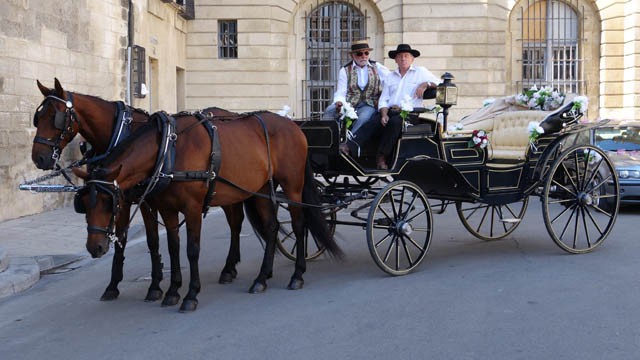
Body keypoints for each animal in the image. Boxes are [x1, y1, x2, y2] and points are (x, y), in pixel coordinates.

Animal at [30, 80, 251, 302]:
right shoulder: (124, 199)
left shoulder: (141, 201)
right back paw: (231, 267)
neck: (120, 133)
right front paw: (115, 285)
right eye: (38, 118)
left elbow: (151, 241)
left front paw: (154, 285)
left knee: (235, 223)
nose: (38, 157)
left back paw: (229, 268)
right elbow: (124, 239)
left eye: (55, 117)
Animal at [73, 109, 342, 310]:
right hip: (263, 188)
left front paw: (191, 294)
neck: (168, 150)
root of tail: (294, 126)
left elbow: (192, 250)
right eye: (84, 204)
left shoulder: (192, 208)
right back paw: (261, 278)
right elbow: (172, 247)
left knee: (298, 226)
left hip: (292, 187)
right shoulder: (166, 209)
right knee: (272, 226)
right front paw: (172, 291)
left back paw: (297, 275)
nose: (95, 248)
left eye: (108, 202)